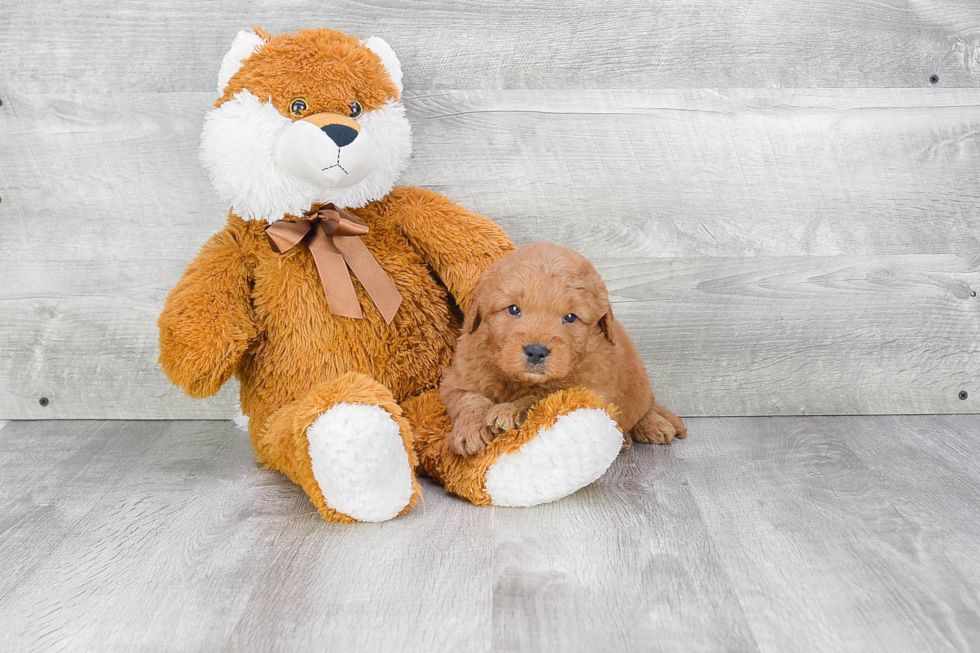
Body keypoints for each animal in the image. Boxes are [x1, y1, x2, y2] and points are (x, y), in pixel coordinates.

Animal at [440, 239, 684, 454]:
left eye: (570, 317)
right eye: (513, 309)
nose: (536, 351)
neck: (522, 381)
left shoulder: (587, 389)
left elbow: (541, 397)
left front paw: (508, 410)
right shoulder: (458, 377)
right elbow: (469, 399)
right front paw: (470, 430)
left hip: (640, 388)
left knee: (645, 408)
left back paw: (653, 426)